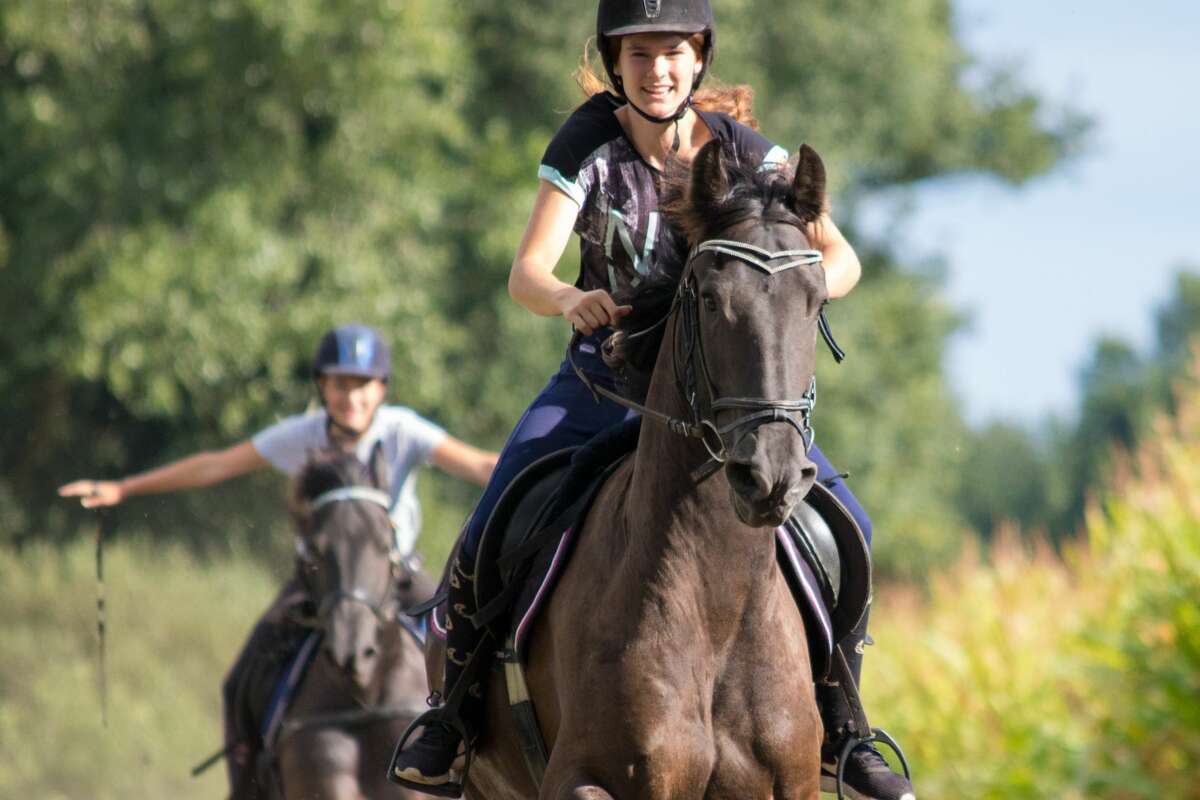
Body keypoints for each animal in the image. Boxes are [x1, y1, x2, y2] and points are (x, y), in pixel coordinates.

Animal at [432, 140, 835, 796]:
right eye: (709, 299)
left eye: (817, 301)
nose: (770, 474)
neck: (716, 608)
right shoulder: (585, 774)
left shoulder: (792, 782)